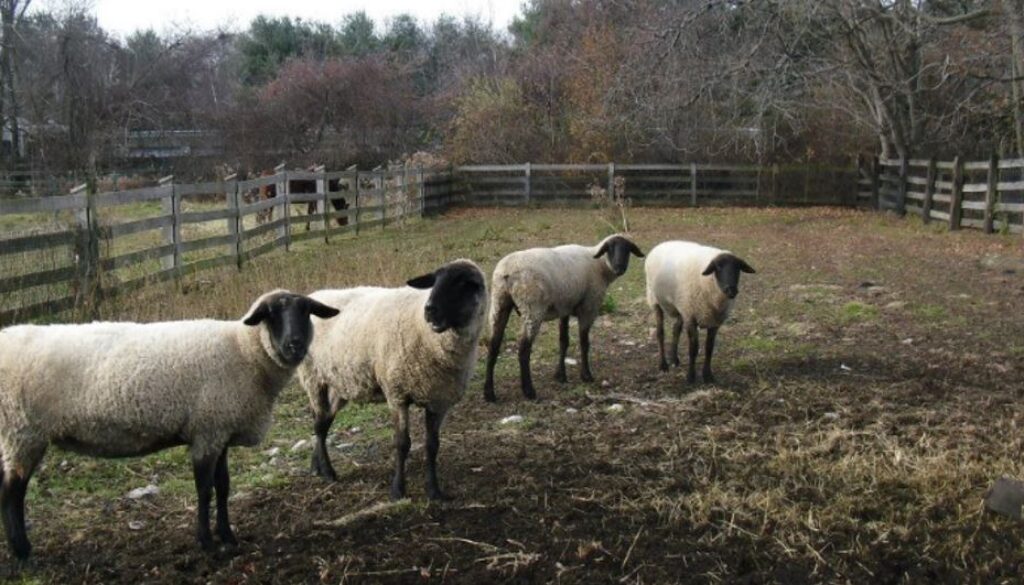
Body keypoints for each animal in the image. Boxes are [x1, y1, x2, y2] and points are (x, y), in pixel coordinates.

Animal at [0, 290, 340, 560]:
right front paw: (207, 543)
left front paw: (228, 536)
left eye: (305, 311)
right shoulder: (206, 432)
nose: (295, 345)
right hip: (21, 431)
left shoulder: (219, 430)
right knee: (12, 491)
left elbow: (223, 486)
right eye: (271, 315)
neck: (244, 352)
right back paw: (22, 551)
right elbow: (204, 490)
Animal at [298, 259, 487, 501]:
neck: (429, 336)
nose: (430, 310)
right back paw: (328, 472)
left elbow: (432, 445)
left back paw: (317, 467)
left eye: (464, 284)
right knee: (320, 426)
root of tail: (315, 296)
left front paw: (434, 491)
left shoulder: (439, 400)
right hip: (313, 377)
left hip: (339, 384)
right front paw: (398, 490)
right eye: (435, 281)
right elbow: (402, 443)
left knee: (323, 421)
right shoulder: (397, 393)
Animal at [483, 234, 644, 402]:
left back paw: (489, 393)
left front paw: (560, 375)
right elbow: (584, 343)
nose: (620, 268)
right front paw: (586, 375)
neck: (600, 265)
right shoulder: (588, 308)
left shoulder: (565, 308)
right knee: (523, 350)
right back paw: (529, 391)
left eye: (628, 249)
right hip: (532, 308)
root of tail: (506, 271)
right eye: (610, 248)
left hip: (499, 303)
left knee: (493, 347)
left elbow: (563, 341)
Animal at [644, 241, 755, 384]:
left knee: (676, 329)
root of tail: (661, 244)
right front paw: (690, 377)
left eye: (738, 268)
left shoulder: (713, 321)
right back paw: (663, 365)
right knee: (660, 333)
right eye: (718, 267)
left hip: (681, 306)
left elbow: (709, 348)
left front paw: (708, 376)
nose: (731, 290)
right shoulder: (691, 317)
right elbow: (693, 349)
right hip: (655, 300)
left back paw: (674, 359)